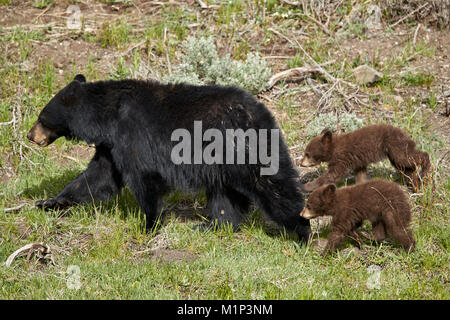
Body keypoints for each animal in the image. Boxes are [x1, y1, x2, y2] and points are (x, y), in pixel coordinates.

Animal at [27, 74, 310, 240]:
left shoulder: (133, 135)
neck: (108, 116)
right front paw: (50, 202)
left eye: (41, 117)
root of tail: (261, 111)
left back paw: (302, 231)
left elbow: (144, 179)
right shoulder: (111, 145)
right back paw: (212, 226)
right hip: (222, 164)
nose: (30, 135)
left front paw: (147, 226)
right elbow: (97, 178)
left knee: (272, 186)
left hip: (244, 149)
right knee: (224, 197)